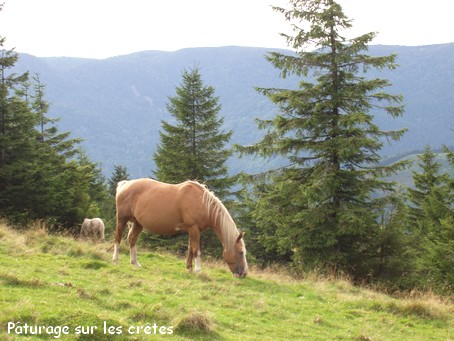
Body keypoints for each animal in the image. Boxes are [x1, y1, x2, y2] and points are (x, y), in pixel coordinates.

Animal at [112, 178, 248, 276]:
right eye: (241, 252)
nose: (244, 273)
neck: (203, 203)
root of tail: (124, 184)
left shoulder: (193, 230)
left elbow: (190, 249)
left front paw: (190, 268)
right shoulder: (193, 228)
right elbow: (196, 250)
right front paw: (199, 271)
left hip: (138, 223)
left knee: (132, 239)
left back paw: (135, 263)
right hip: (122, 220)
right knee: (118, 238)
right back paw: (115, 260)